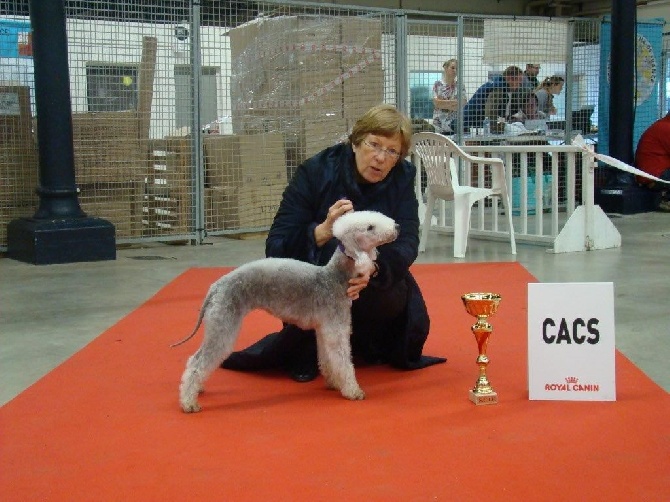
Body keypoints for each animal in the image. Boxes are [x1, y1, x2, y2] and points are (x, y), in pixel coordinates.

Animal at [173, 211, 402, 412]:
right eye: (370, 227)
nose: (397, 227)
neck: (335, 277)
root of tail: (215, 287)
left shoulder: (325, 329)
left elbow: (328, 358)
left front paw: (333, 382)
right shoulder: (336, 329)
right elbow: (343, 360)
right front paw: (353, 391)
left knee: (195, 360)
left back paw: (197, 390)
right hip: (223, 323)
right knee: (197, 361)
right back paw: (189, 403)